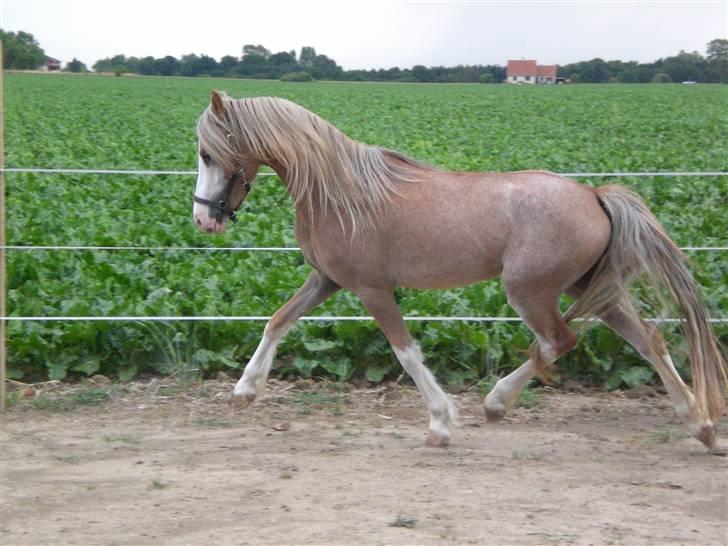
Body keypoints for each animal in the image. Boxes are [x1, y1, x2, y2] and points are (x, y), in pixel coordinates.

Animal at [191, 91, 724, 450]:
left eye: (207, 152)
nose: (203, 218)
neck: (340, 193)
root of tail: (594, 194)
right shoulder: (327, 280)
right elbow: (277, 320)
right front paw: (244, 391)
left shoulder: (371, 288)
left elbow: (407, 354)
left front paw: (442, 424)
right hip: (589, 286)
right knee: (648, 339)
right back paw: (700, 424)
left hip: (528, 291)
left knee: (560, 341)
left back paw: (496, 402)